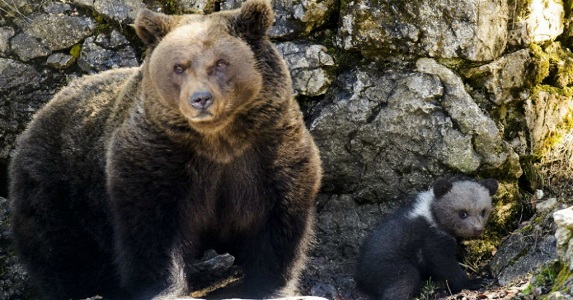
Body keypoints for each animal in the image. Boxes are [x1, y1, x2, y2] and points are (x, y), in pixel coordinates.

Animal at [7, 1, 322, 298]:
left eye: (221, 63)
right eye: (179, 66)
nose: (200, 99)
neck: (219, 140)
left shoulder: (268, 153)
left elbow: (278, 219)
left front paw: (268, 286)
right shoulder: (157, 159)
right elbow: (152, 229)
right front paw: (163, 287)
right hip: (59, 186)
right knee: (62, 251)